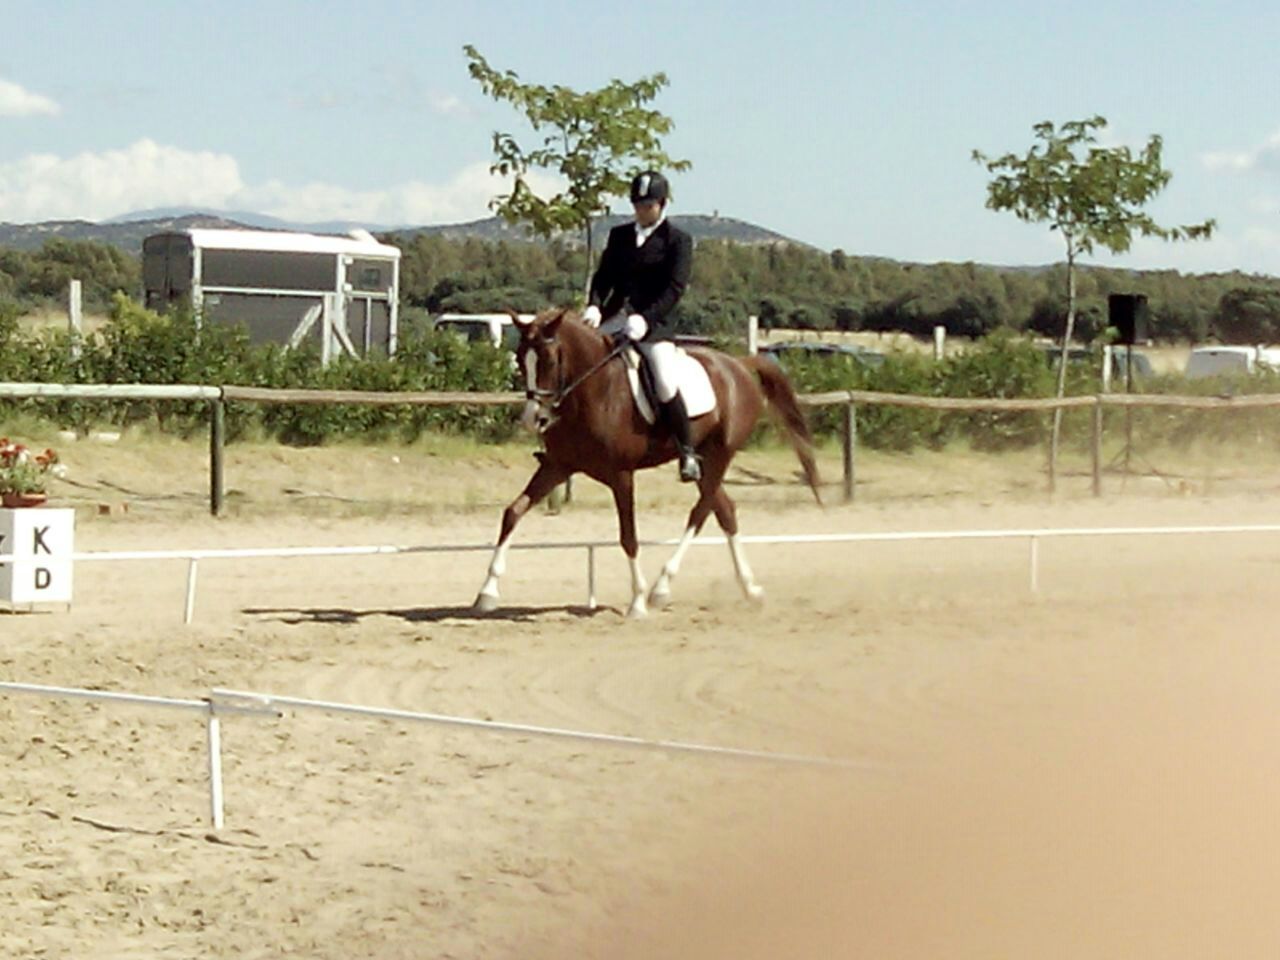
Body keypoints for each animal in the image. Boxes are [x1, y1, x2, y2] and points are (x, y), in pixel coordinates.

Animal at [471, 309, 819, 624]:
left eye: (550, 360)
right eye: (521, 359)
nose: (535, 419)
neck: (591, 393)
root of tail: (740, 365)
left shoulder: (621, 475)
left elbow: (629, 536)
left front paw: (637, 602)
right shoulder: (558, 466)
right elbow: (513, 512)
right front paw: (486, 593)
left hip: (720, 454)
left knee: (701, 511)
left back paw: (661, 588)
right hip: (704, 461)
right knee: (725, 510)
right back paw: (750, 589)